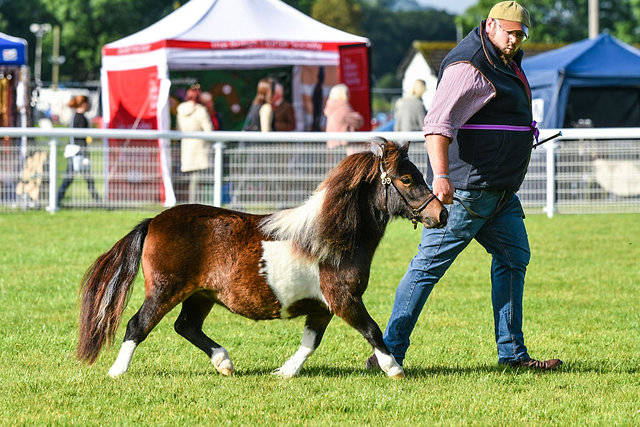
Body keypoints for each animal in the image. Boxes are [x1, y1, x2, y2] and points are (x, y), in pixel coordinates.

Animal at [77, 139, 448, 380]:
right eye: (406, 179)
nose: (441, 214)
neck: (332, 235)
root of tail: (154, 221)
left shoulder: (323, 306)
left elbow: (311, 342)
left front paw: (284, 372)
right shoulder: (343, 299)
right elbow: (371, 329)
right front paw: (394, 369)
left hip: (200, 295)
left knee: (186, 326)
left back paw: (224, 363)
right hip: (166, 290)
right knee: (137, 325)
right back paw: (117, 371)